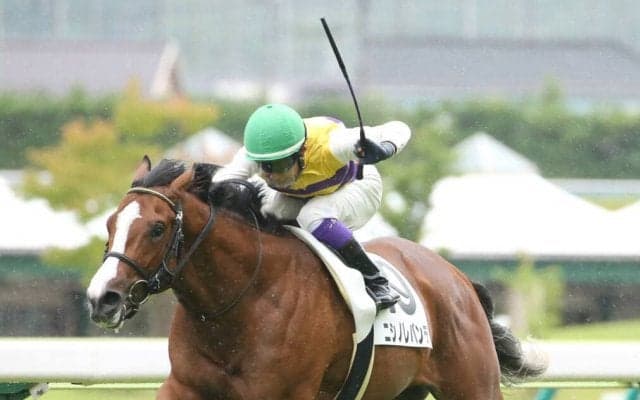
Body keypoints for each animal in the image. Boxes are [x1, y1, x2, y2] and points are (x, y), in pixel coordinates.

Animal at [87, 157, 546, 400]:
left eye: (157, 228)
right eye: (110, 223)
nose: (101, 298)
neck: (243, 301)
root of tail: (459, 280)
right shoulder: (184, 387)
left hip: (472, 385)